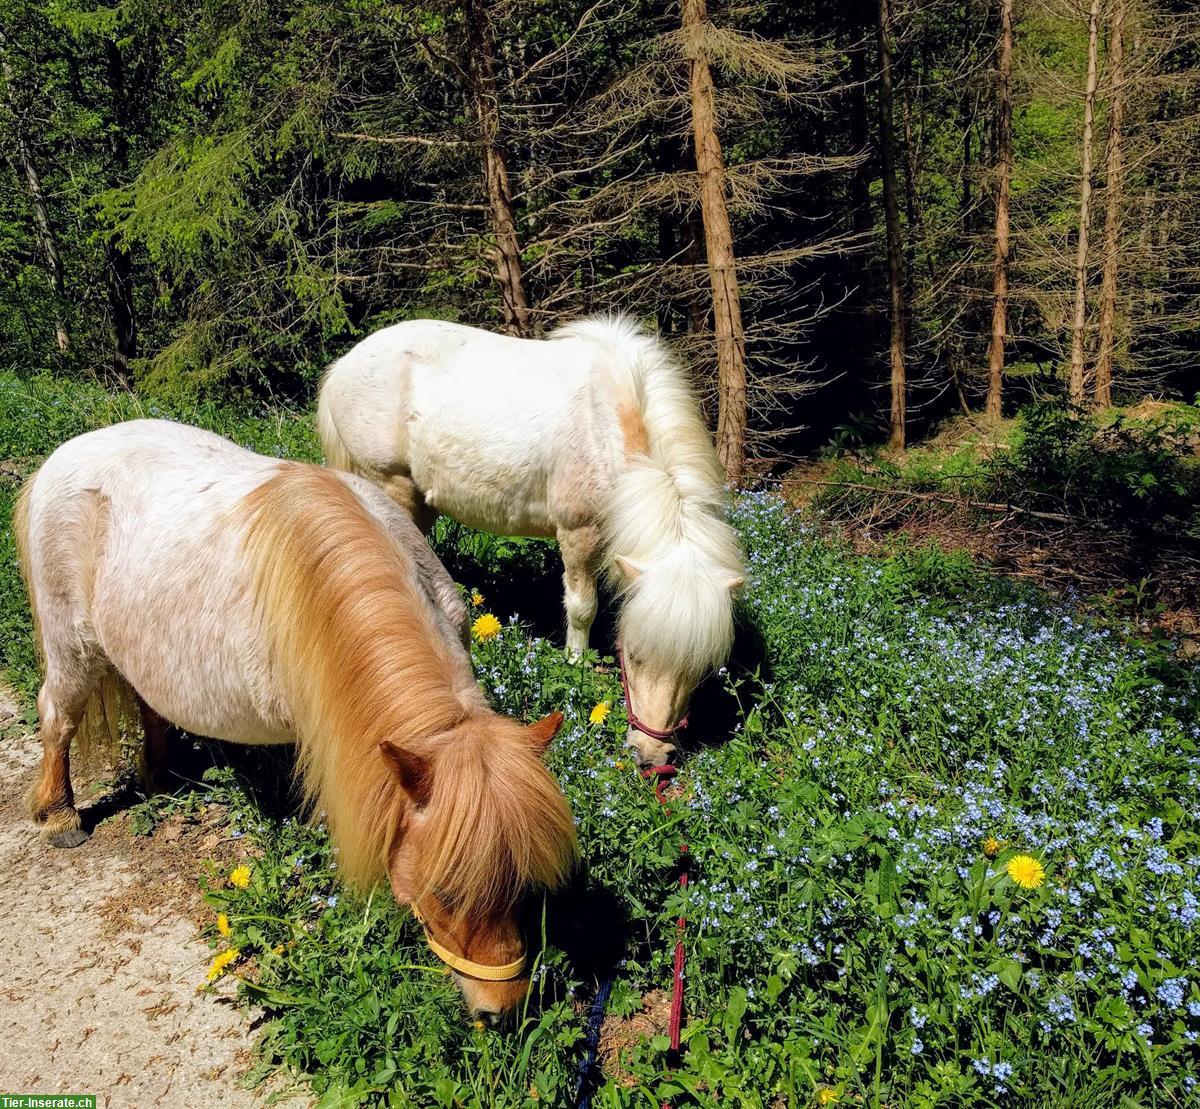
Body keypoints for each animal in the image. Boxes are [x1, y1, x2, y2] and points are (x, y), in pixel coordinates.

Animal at [14, 422, 576, 1022]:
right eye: (444, 893)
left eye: (525, 885)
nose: (504, 1010)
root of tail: (64, 455)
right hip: (73, 649)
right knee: (57, 717)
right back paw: (60, 815)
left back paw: (161, 779)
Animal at [319, 312, 748, 763]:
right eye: (634, 655)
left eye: (700, 670)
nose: (650, 756)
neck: (612, 427)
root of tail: (344, 365)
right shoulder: (579, 532)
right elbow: (582, 607)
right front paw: (577, 666)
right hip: (391, 483)